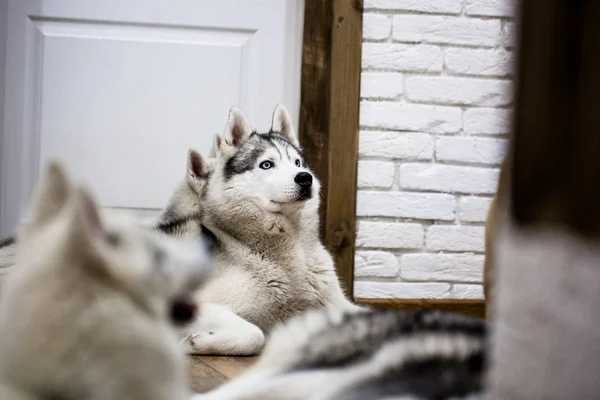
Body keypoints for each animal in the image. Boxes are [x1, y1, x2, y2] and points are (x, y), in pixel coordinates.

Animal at [162, 104, 358, 354]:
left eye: (297, 163)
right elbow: (256, 335)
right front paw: (196, 342)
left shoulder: (338, 303)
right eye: (266, 164)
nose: (305, 178)